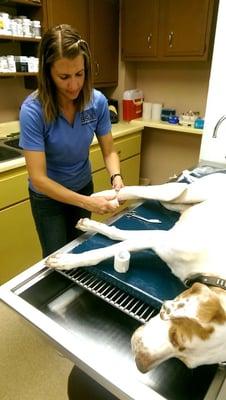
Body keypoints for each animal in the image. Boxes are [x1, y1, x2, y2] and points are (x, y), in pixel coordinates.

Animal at [45, 172, 226, 372]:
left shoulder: (158, 237)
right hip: (185, 194)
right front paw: (67, 261)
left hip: (181, 206)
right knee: (150, 190)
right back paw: (102, 196)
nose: (140, 364)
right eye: (175, 336)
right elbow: (102, 251)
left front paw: (94, 228)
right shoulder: (159, 238)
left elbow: (118, 234)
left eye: (187, 362)